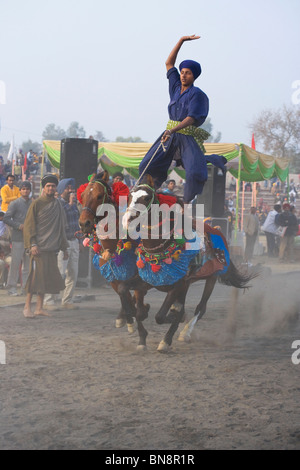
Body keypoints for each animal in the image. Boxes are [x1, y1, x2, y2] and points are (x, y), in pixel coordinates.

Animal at [122, 175, 258, 348]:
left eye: (146, 198)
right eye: (129, 197)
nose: (128, 220)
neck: (160, 247)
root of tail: (217, 230)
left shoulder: (178, 285)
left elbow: (162, 316)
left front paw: (167, 335)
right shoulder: (147, 280)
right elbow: (134, 304)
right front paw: (142, 334)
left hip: (211, 278)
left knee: (201, 308)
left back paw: (182, 333)